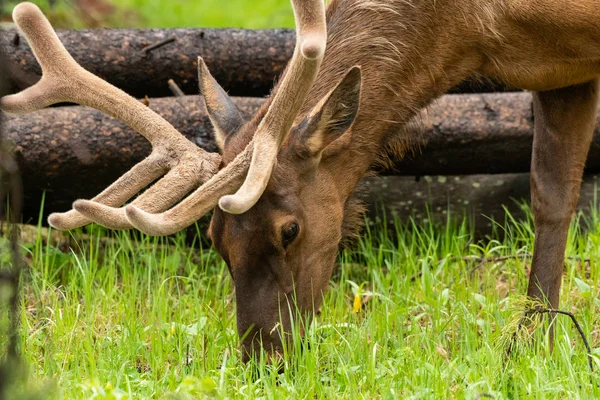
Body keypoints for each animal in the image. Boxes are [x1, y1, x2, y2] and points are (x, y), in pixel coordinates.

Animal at [1, 0, 600, 362]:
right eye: (215, 238)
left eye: (289, 230)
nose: (263, 359)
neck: (470, 30)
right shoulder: (558, 70)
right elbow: (551, 199)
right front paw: (536, 345)